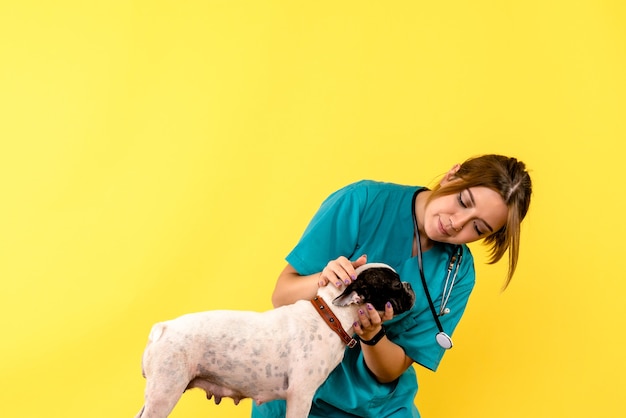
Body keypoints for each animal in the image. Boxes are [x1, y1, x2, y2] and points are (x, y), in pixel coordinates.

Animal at [134, 262, 412, 416]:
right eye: (396, 285)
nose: (410, 285)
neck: (330, 316)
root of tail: (163, 328)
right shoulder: (300, 395)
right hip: (165, 392)